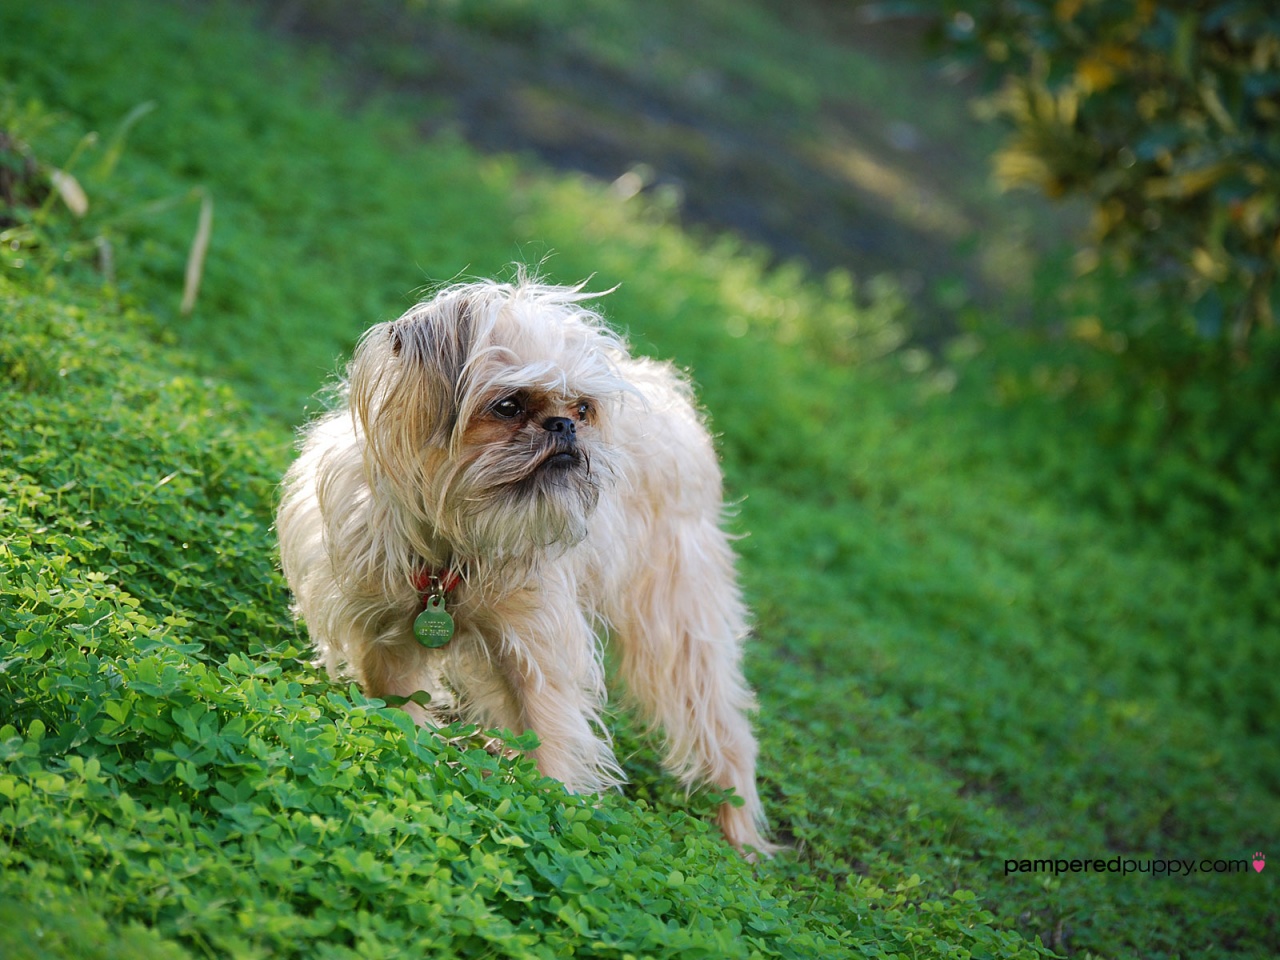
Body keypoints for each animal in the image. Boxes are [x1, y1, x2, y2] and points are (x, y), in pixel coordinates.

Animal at [276, 273, 773, 855]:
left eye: (583, 409)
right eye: (509, 406)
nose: (563, 426)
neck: (454, 545)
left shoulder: (538, 649)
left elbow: (549, 737)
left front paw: (551, 805)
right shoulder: (385, 637)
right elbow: (397, 701)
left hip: (678, 619)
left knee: (723, 726)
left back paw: (740, 834)